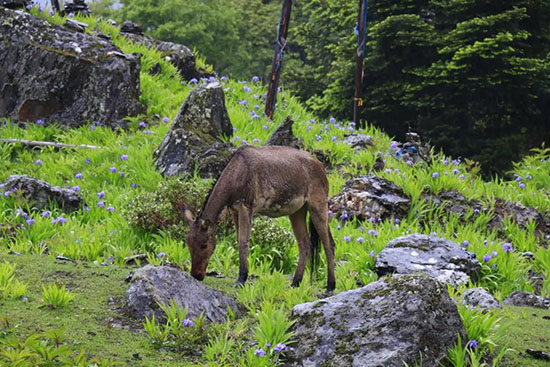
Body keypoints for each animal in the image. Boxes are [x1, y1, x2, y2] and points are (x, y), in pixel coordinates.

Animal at [183, 145, 336, 292]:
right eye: (188, 243)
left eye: (204, 244)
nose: (196, 274)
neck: (233, 182)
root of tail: (322, 168)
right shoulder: (234, 210)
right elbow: (239, 240)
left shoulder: (246, 206)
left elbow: (244, 242)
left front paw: (241, 279)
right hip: (297, 211)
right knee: (305, 244)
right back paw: (295, 283)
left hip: (318, 204)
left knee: (329, 243)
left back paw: (330, 286)